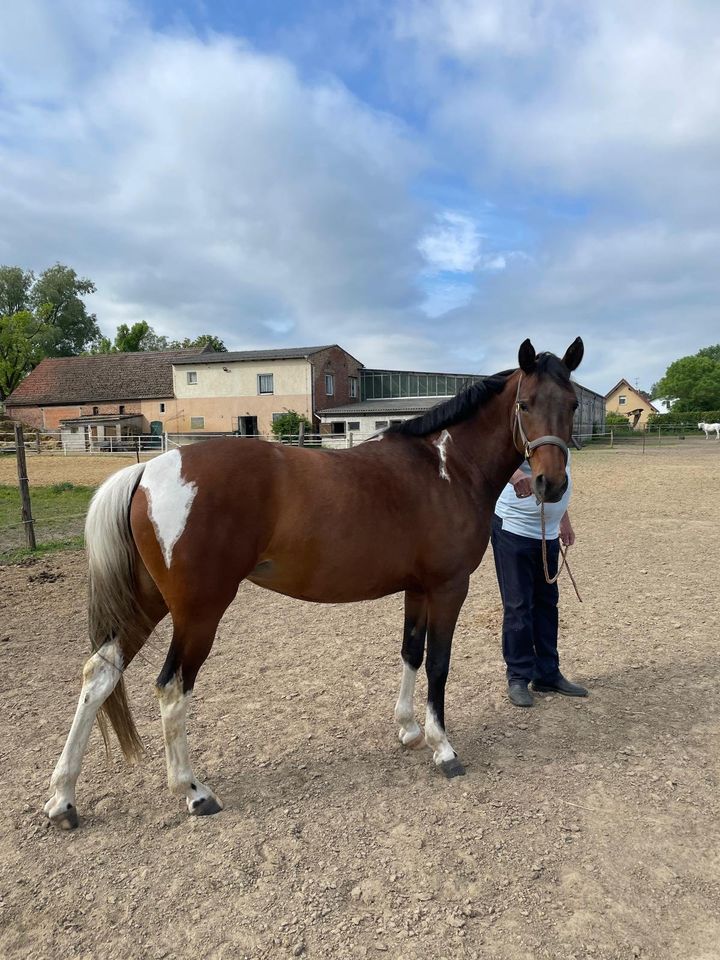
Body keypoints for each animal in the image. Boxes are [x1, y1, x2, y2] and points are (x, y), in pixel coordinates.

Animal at [43, 336, 584, 824]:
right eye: (525, 404)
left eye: (573, 404)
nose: (551, 484)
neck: (446, 468)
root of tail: (148, 470)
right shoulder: (449, 588)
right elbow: (438, 665)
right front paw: (443, 748)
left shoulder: (417, 589)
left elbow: (411, 653)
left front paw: (408, 730)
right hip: (198, 613)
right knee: (172, 688)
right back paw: (193, 792)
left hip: (149, 602)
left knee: (99, 675)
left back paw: (63, 800)